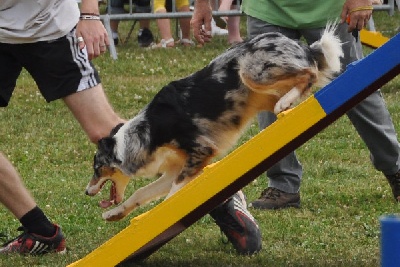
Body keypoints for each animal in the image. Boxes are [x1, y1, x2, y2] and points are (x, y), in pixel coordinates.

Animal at [86, 25, 342, 222]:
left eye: (97, 169)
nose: (87, 192)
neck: (145, 133)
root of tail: (299, 45)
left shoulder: (200, 150)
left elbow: (174, 192)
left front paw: (165, 212)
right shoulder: (176, 167)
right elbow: (141, 192)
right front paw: (115, 214)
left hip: (251, 70)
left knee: (309, 72)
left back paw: (286, 101)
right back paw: (286, 103)